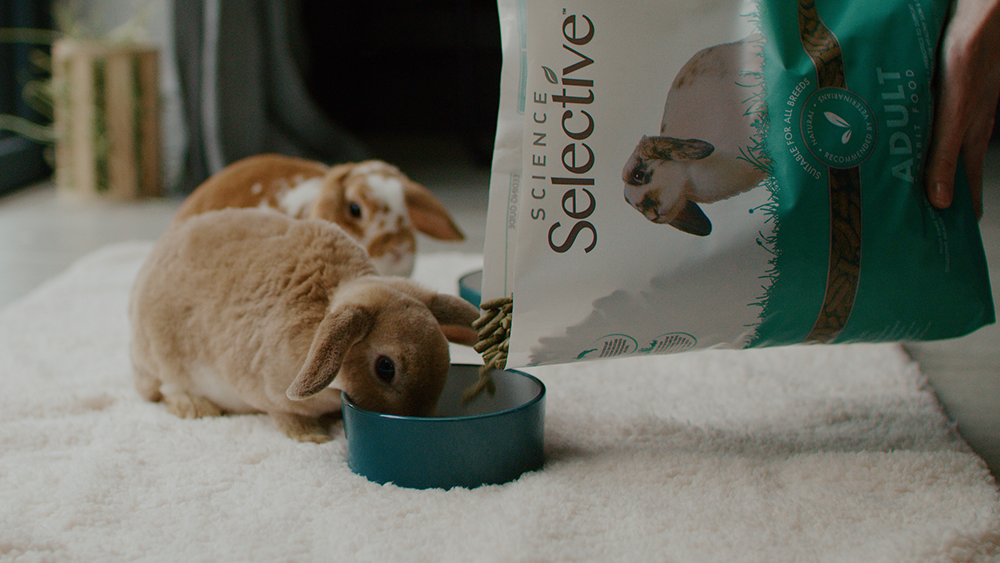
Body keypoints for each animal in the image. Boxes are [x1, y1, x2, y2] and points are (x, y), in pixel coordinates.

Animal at [129, 207, 480, 443]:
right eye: (385, 367)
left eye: (446, 353)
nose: (418, 415)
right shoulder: (267, 393)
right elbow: (287, 416)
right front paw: (313, 437)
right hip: (167, 357)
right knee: (167, 389)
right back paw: (197, 408)